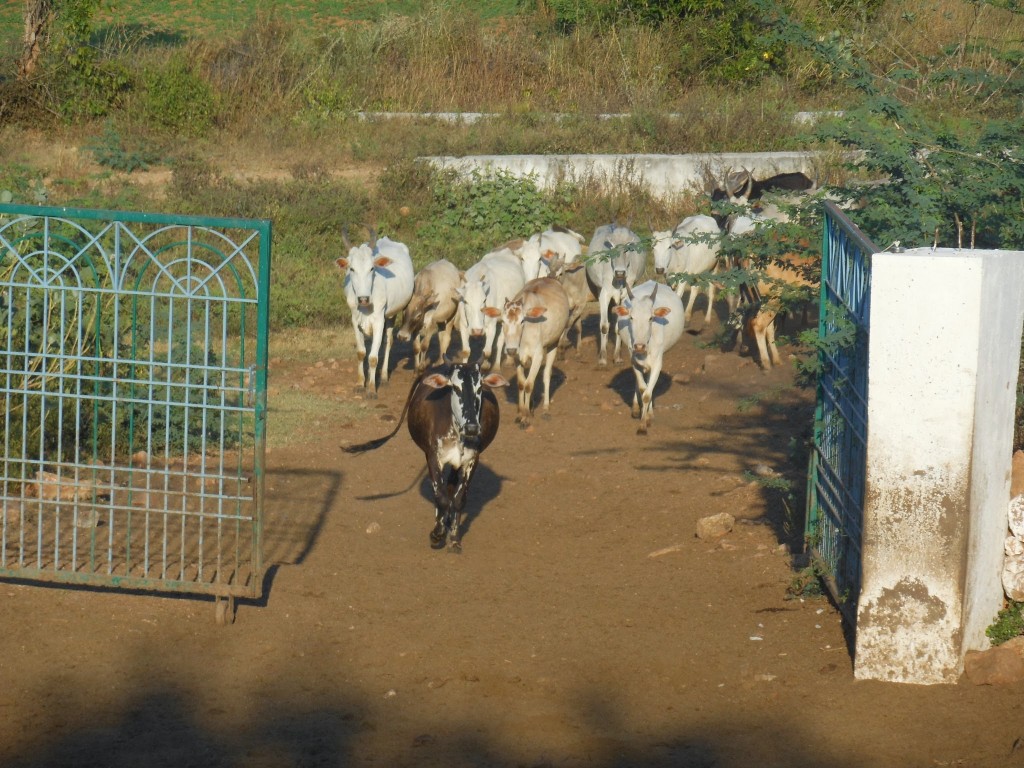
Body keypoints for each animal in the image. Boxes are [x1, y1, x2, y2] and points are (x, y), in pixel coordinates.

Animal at [337, 231, 413, 397]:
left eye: (372, 268)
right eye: (351, 269)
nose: (363, 299)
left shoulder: (379, 320)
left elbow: (372, 357)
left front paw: (371, 389)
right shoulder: (355, 321)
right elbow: (361, 353)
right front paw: (360, 383)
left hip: (391, 315)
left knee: (388, 342)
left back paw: (383, 377)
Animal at [344, 364, 507, 548]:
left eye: (479, 388)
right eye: (455, 387)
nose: (472, 427)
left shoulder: (472, 461)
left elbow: (459, 499)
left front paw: (454, 539)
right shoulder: (433, 457)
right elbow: (440, 497)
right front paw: (437, 534)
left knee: (451, 486)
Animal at [499, 276, 573, 428]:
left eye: (522, 321)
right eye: (502, 321)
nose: (510, 349)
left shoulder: (538, 356)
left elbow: (529, 385)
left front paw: (526, 418)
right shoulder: (517, 358)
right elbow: (522, 383)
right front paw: (521, 413)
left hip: (553, 344)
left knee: (546, 374)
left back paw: (545, 407)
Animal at [585, 222, 647, 366]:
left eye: (628, 247)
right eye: (612, 247)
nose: (620, 272)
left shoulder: (625, 297)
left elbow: (619, 327)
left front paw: (617, 357)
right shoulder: (604, 294)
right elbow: (604, 326)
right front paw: (602, 358)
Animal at [610, 282, 684, 438]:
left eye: (650, 318)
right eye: (631, 317)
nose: (639, 346)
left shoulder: (657, 364)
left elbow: (648, 394)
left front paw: (644, 424)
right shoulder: (634, 361)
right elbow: (643, 389)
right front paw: (642, 417)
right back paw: (636, 409)